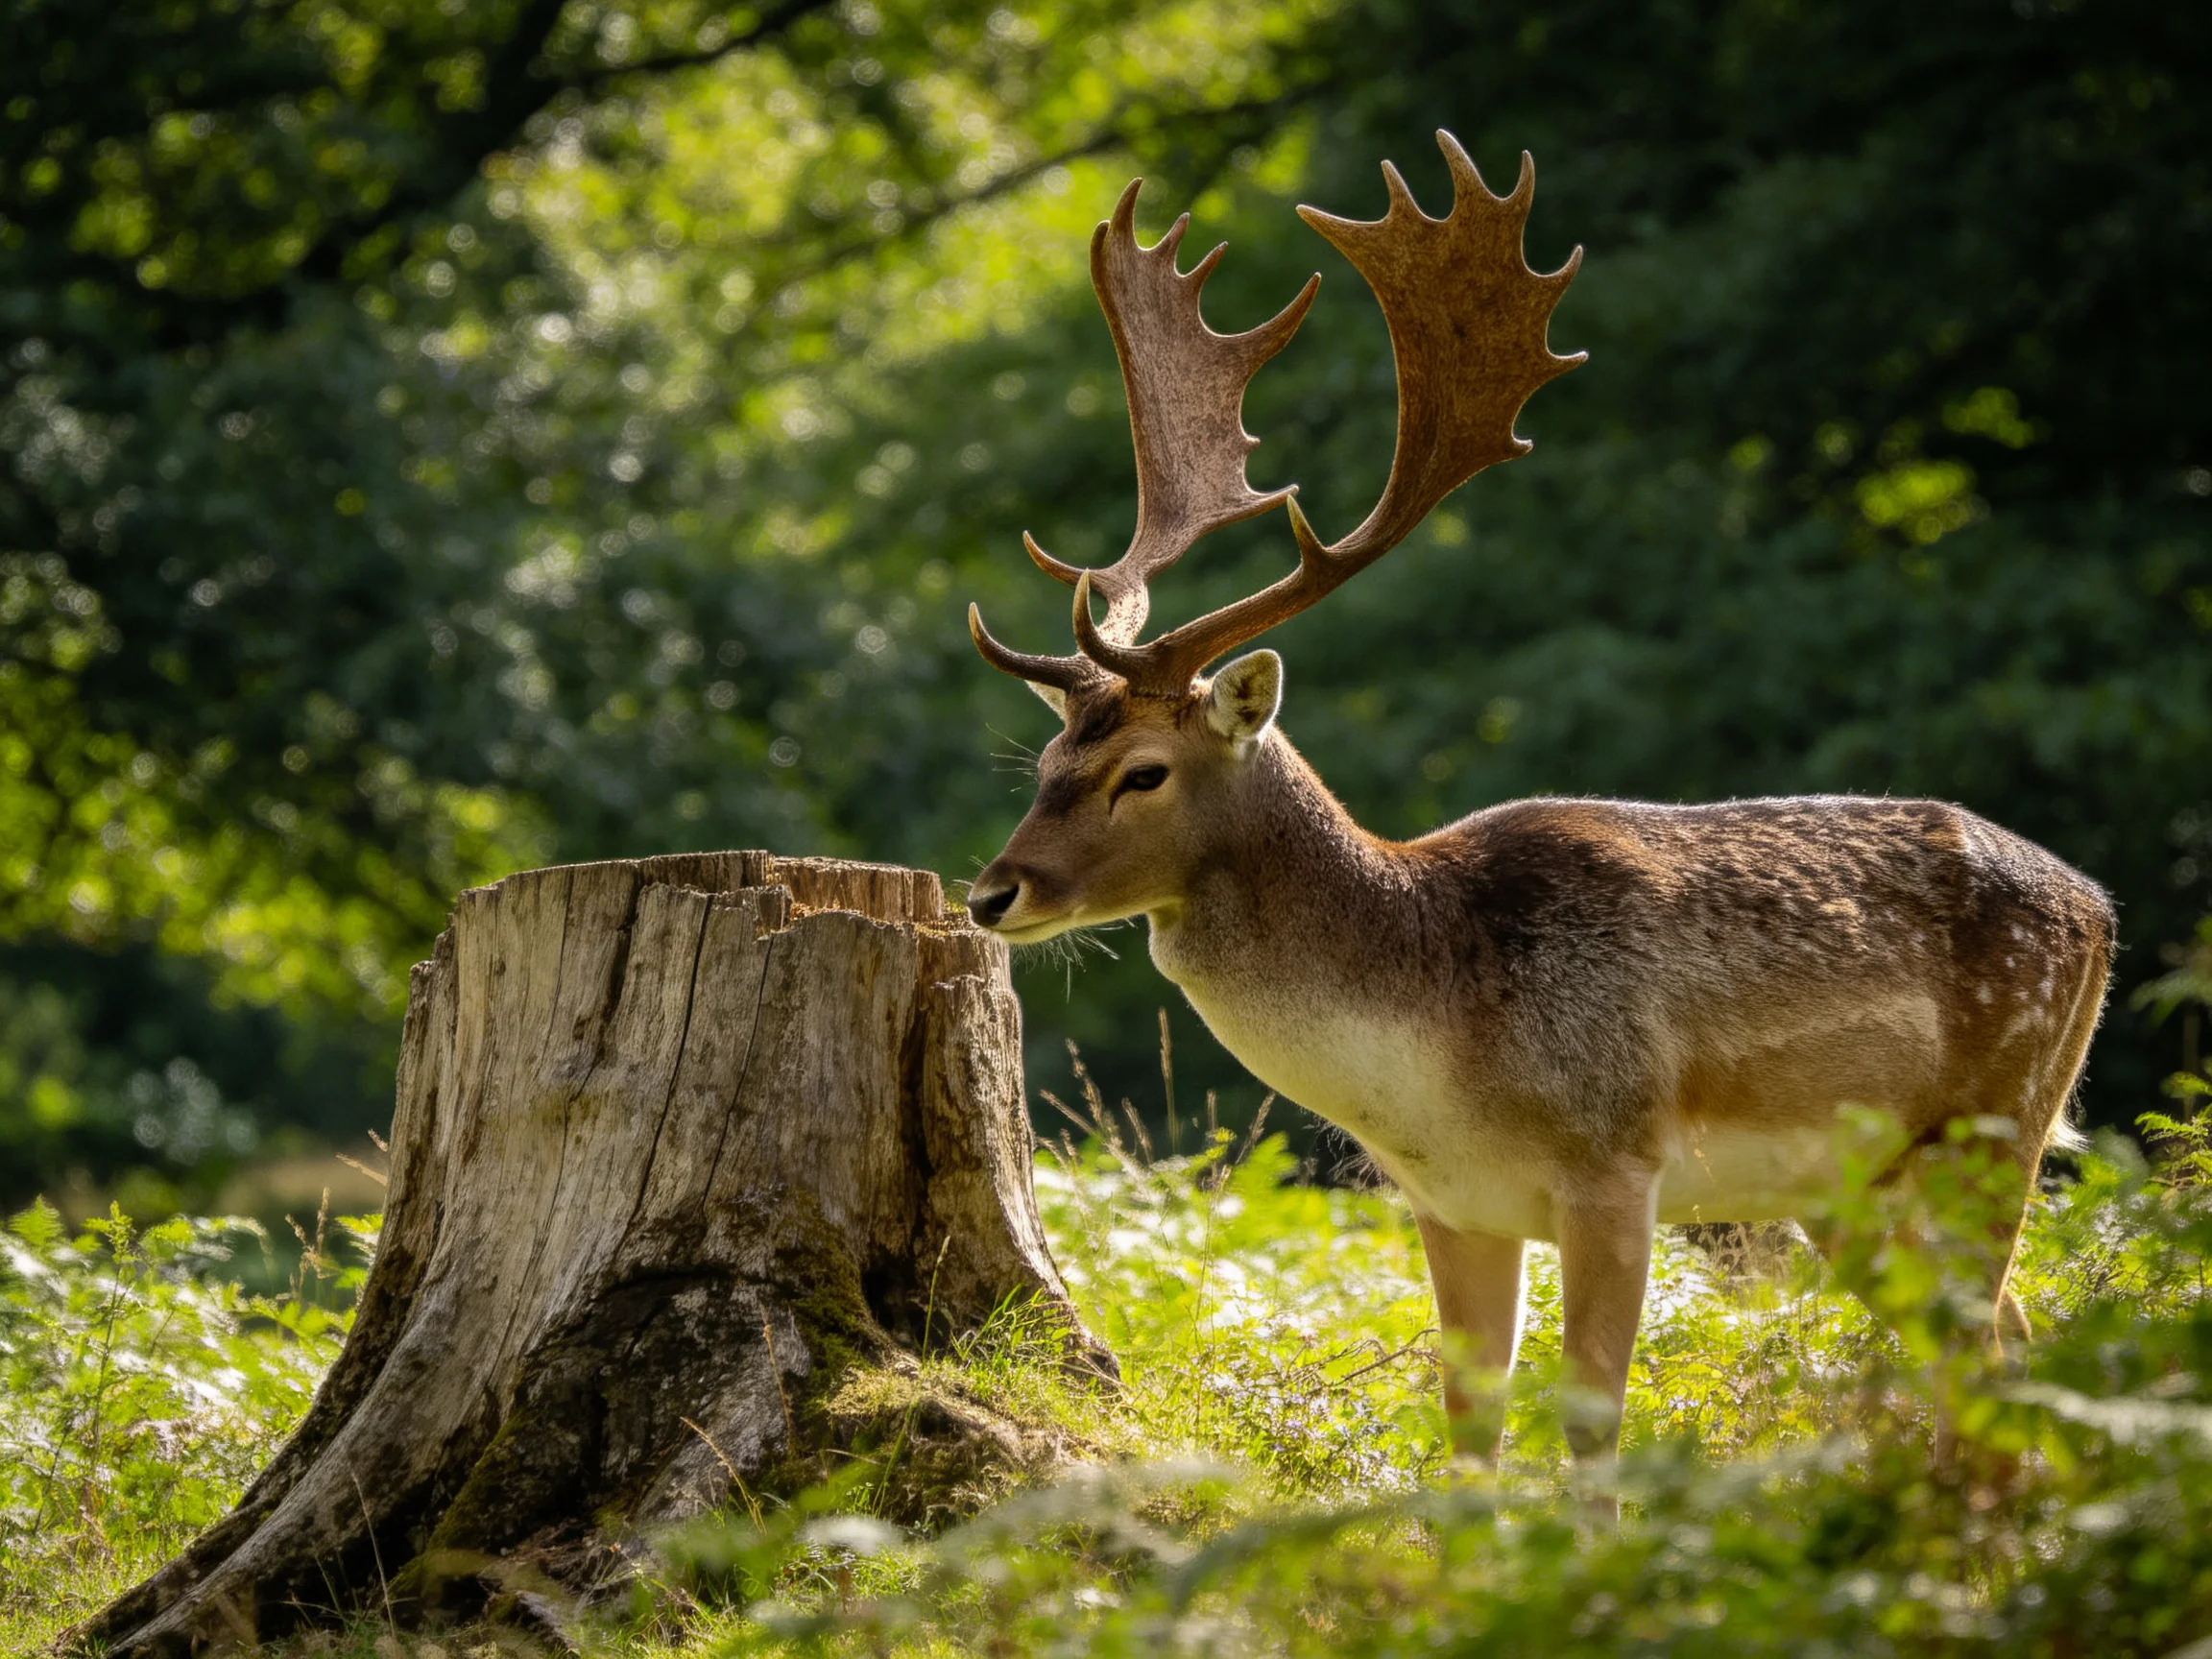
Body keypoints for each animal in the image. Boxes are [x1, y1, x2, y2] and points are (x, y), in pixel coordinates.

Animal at [961, 132, 2115, 1478]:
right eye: (1048, 756)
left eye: (1141, 770)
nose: (992, 894)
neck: (1434, 1059)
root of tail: (2098, 905)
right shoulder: (1451, 1205)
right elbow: (1468, 1432)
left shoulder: (1616, 1161)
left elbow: (1591, 1425)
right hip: (1856, 1183)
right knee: (2002, 1346)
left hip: (2002, 1118)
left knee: (1988, 1344)